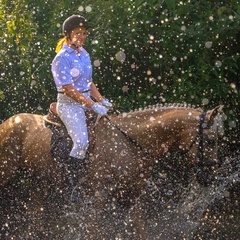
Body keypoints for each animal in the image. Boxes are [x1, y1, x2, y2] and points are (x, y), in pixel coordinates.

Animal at [0, 103, 225, 240]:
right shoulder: (98, 199)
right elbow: (94, 232)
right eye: (211, 141)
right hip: (7, 172)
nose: (210, 177)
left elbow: (139, 230)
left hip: (39, 182)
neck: (130, 144)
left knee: (35, 217)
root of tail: (8, 122)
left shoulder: (132, 197)